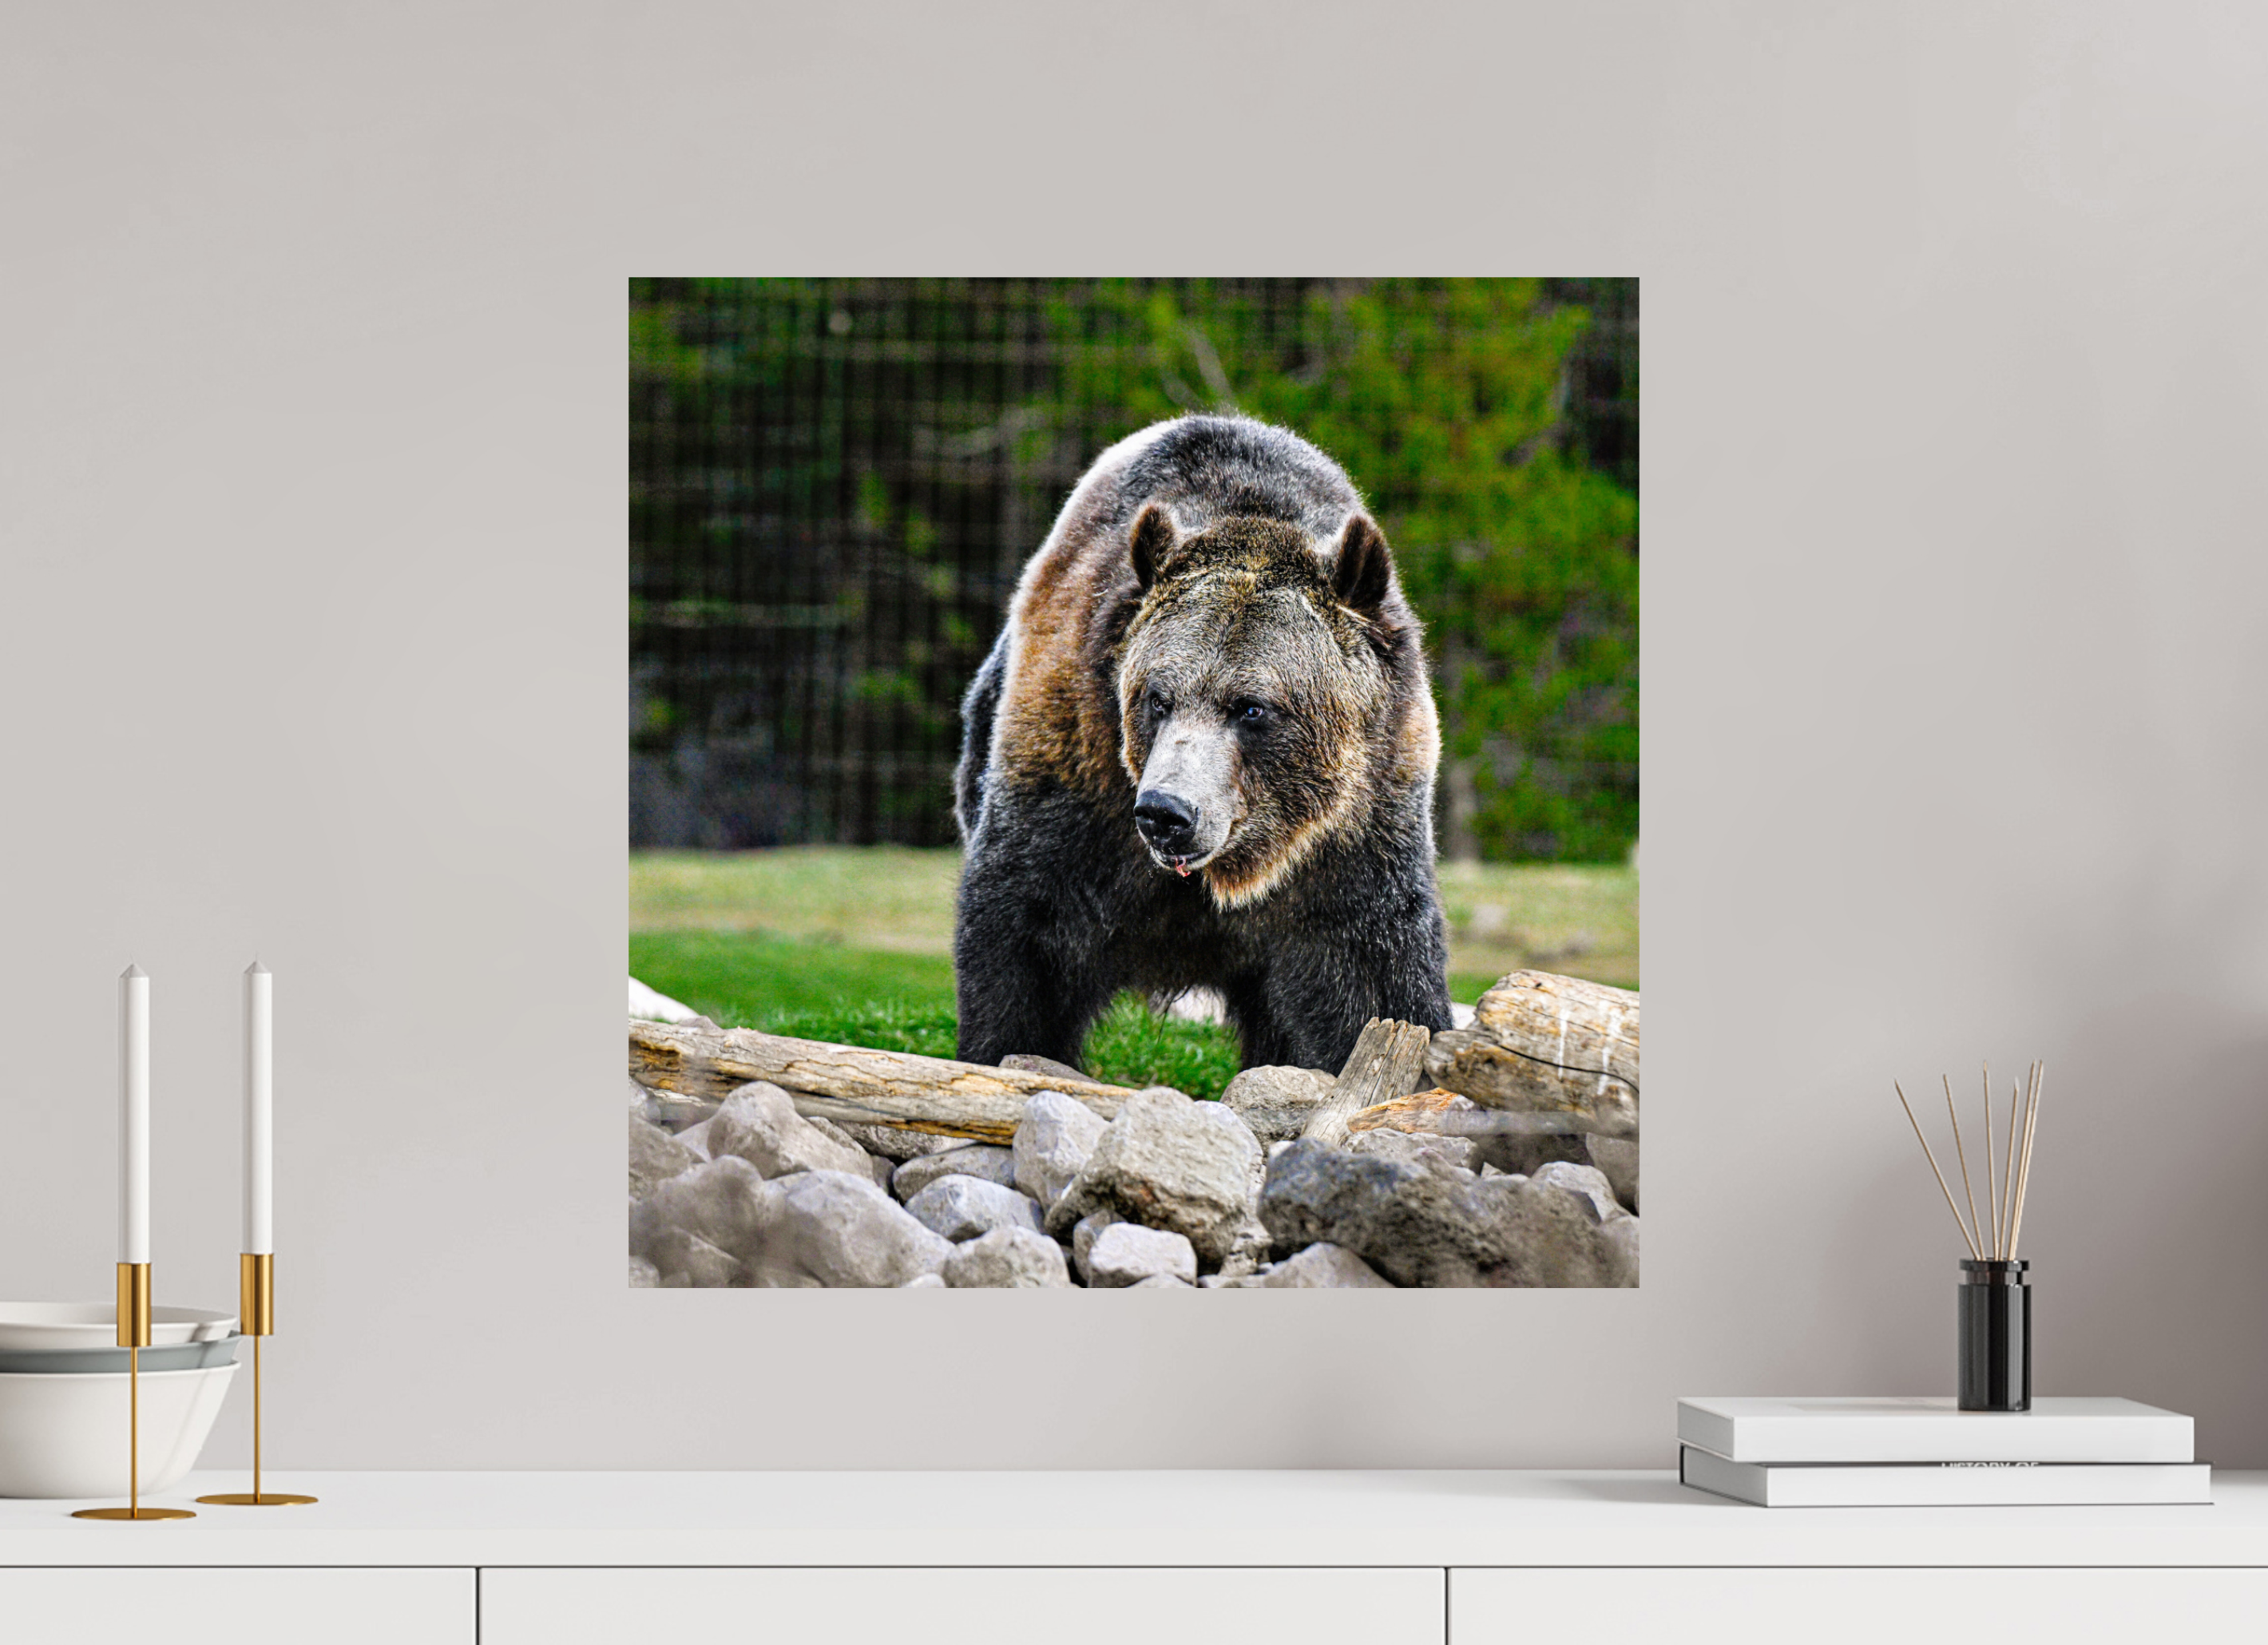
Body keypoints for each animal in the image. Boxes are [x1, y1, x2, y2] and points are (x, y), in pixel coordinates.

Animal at [951, 413, 1454, 1076]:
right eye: (1156, 698)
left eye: (1252, 707)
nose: (1167, 813)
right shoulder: (1073, 770)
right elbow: (1022, 942)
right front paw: (1004, 1049)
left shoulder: (1355, 833)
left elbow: (1372, 980)